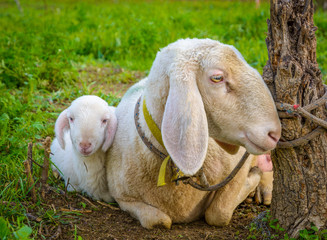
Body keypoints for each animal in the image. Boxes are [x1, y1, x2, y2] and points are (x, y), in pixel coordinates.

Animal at [105, 39, 282, 229]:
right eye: (217, 78)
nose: (275, 134)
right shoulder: (122, 197)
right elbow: (159, 220)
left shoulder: (240, 165)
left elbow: (218, 213)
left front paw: (253, 179)